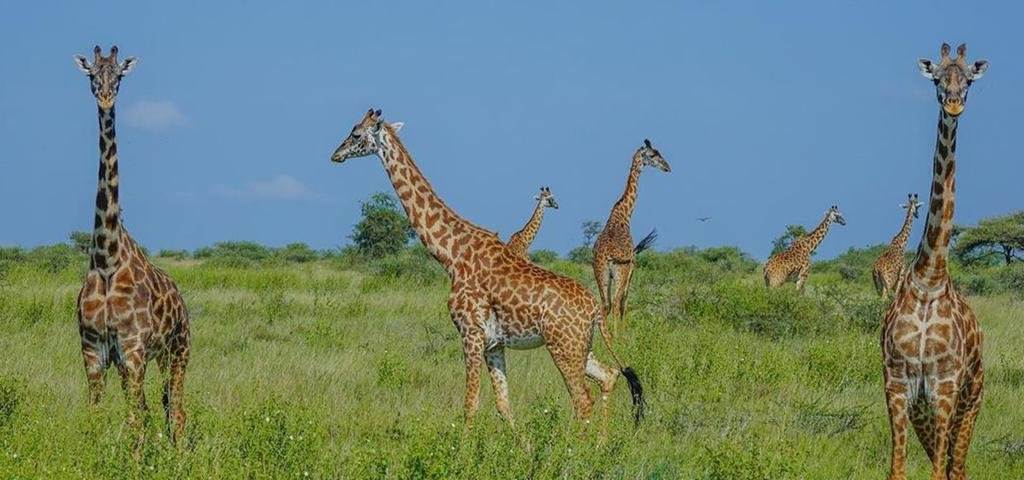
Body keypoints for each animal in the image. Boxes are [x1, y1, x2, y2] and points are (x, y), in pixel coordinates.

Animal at [73, 46, 191, 451]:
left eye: (120, 76)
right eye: (93, 74)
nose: (106, 98)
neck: (106, 259)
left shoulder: (134, 349)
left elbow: (135, 419)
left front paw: (139, 458)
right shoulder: (94, 350)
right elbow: (96, 416)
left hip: (179, 351)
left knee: (176, 408)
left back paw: (178, 453)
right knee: (159, 406)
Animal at [331, 109, 644, 431]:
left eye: (355, 134)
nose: (335, 154)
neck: (452, 255)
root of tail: (594, 308)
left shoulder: (470, 334)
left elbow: (470, 405)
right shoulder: (494, 344)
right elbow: (503, 405)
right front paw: (522, 444)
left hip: (563, 346)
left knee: (582, 400)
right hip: (581, 344)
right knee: (609, 376)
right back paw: (601, 441)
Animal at [592, 139, 669, 333]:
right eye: (653, 154)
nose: (667, 167)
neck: (623, 214)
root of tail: (607, 256)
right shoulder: (632, 267)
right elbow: (624, 305)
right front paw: (624, 336)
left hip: (600, 273)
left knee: (605, 305)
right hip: (620, 272)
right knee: (617, 303)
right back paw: (616, 336)